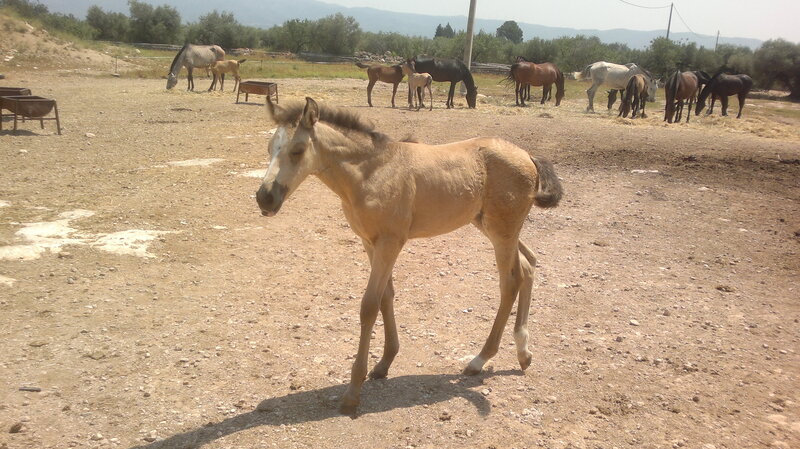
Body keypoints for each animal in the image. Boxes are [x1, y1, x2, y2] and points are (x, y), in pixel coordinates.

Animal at [256, 96, 563, 416]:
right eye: (269, 148)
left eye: (297, 150)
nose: (265, 198)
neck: (371, 172)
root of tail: (528, 156)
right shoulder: (370, 242)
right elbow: (386, 297)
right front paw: (384, 363)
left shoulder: (390, 242)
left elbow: (369, 306)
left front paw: (353, 392)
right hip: (493, 228)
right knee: (529, 265)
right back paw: (523, 352)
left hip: (502, 231)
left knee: (510, 282)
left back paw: (479, 360)